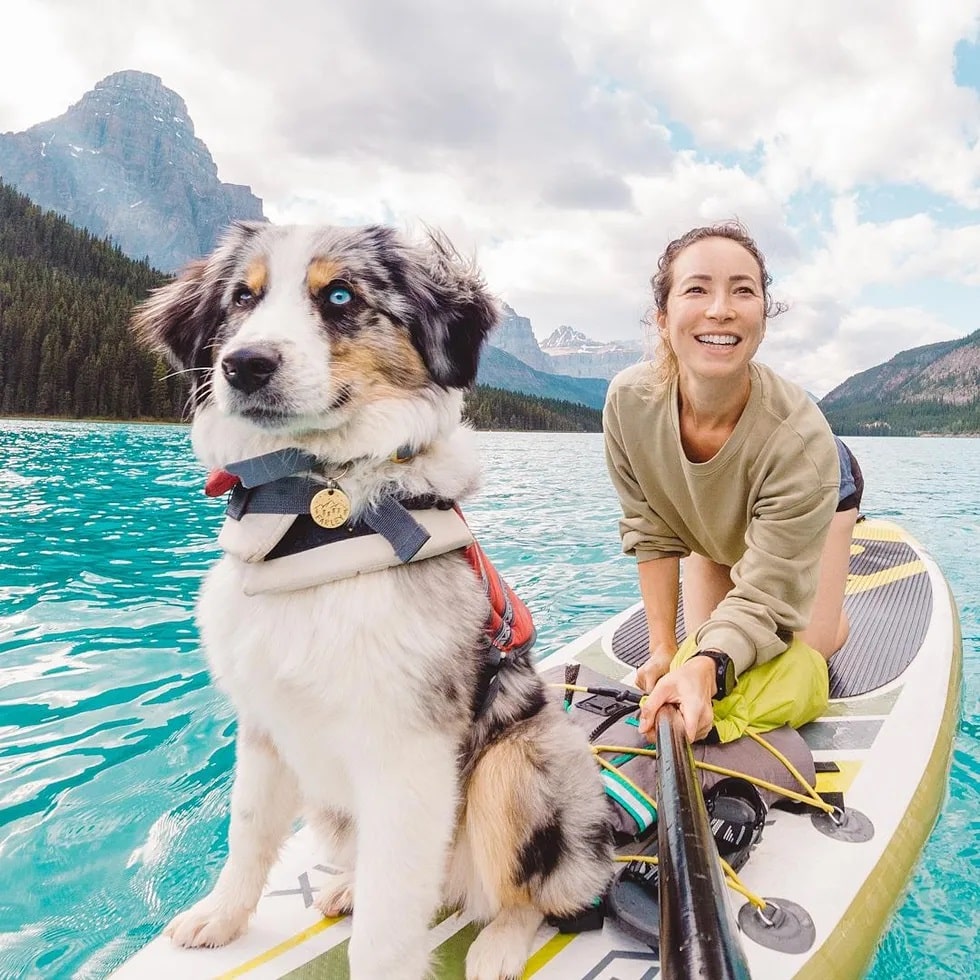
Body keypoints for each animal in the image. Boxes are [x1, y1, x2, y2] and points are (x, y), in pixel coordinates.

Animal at [135, 224, 616, 980]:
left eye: (340, 295)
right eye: (242, 297)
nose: (245, 365)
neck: (310, 519)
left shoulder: (406, 750)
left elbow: (387, 935)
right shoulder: (265, 722)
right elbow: (247, 834)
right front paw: (221, 916)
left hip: (520, 764)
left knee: (532, 894)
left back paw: (500, 944)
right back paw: (348, 888)